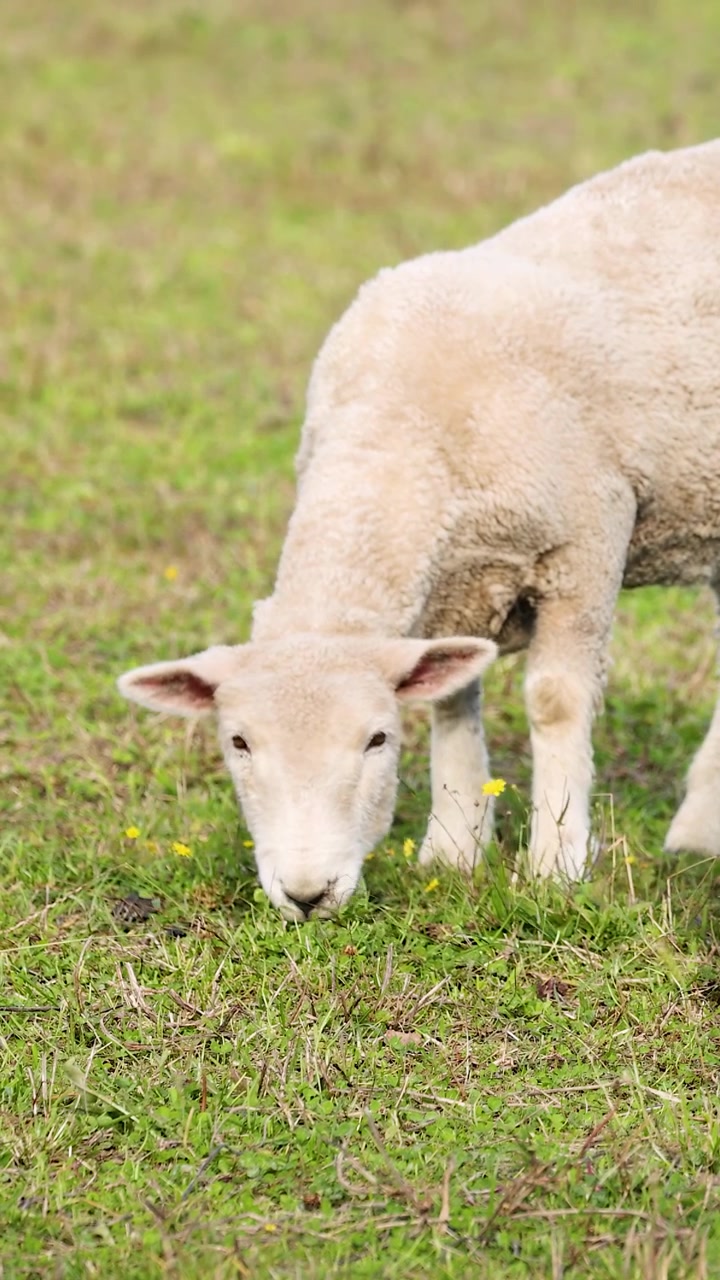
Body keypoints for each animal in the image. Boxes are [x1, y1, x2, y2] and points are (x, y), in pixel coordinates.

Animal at [119, 140, 720, 921]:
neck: (396, 434)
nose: (306, 895)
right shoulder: (453, 586)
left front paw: (555, 864)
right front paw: (455, 848)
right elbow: (449, 698)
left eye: (376, 739)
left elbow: (556, 701)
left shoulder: (586, 540)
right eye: (239, 742)